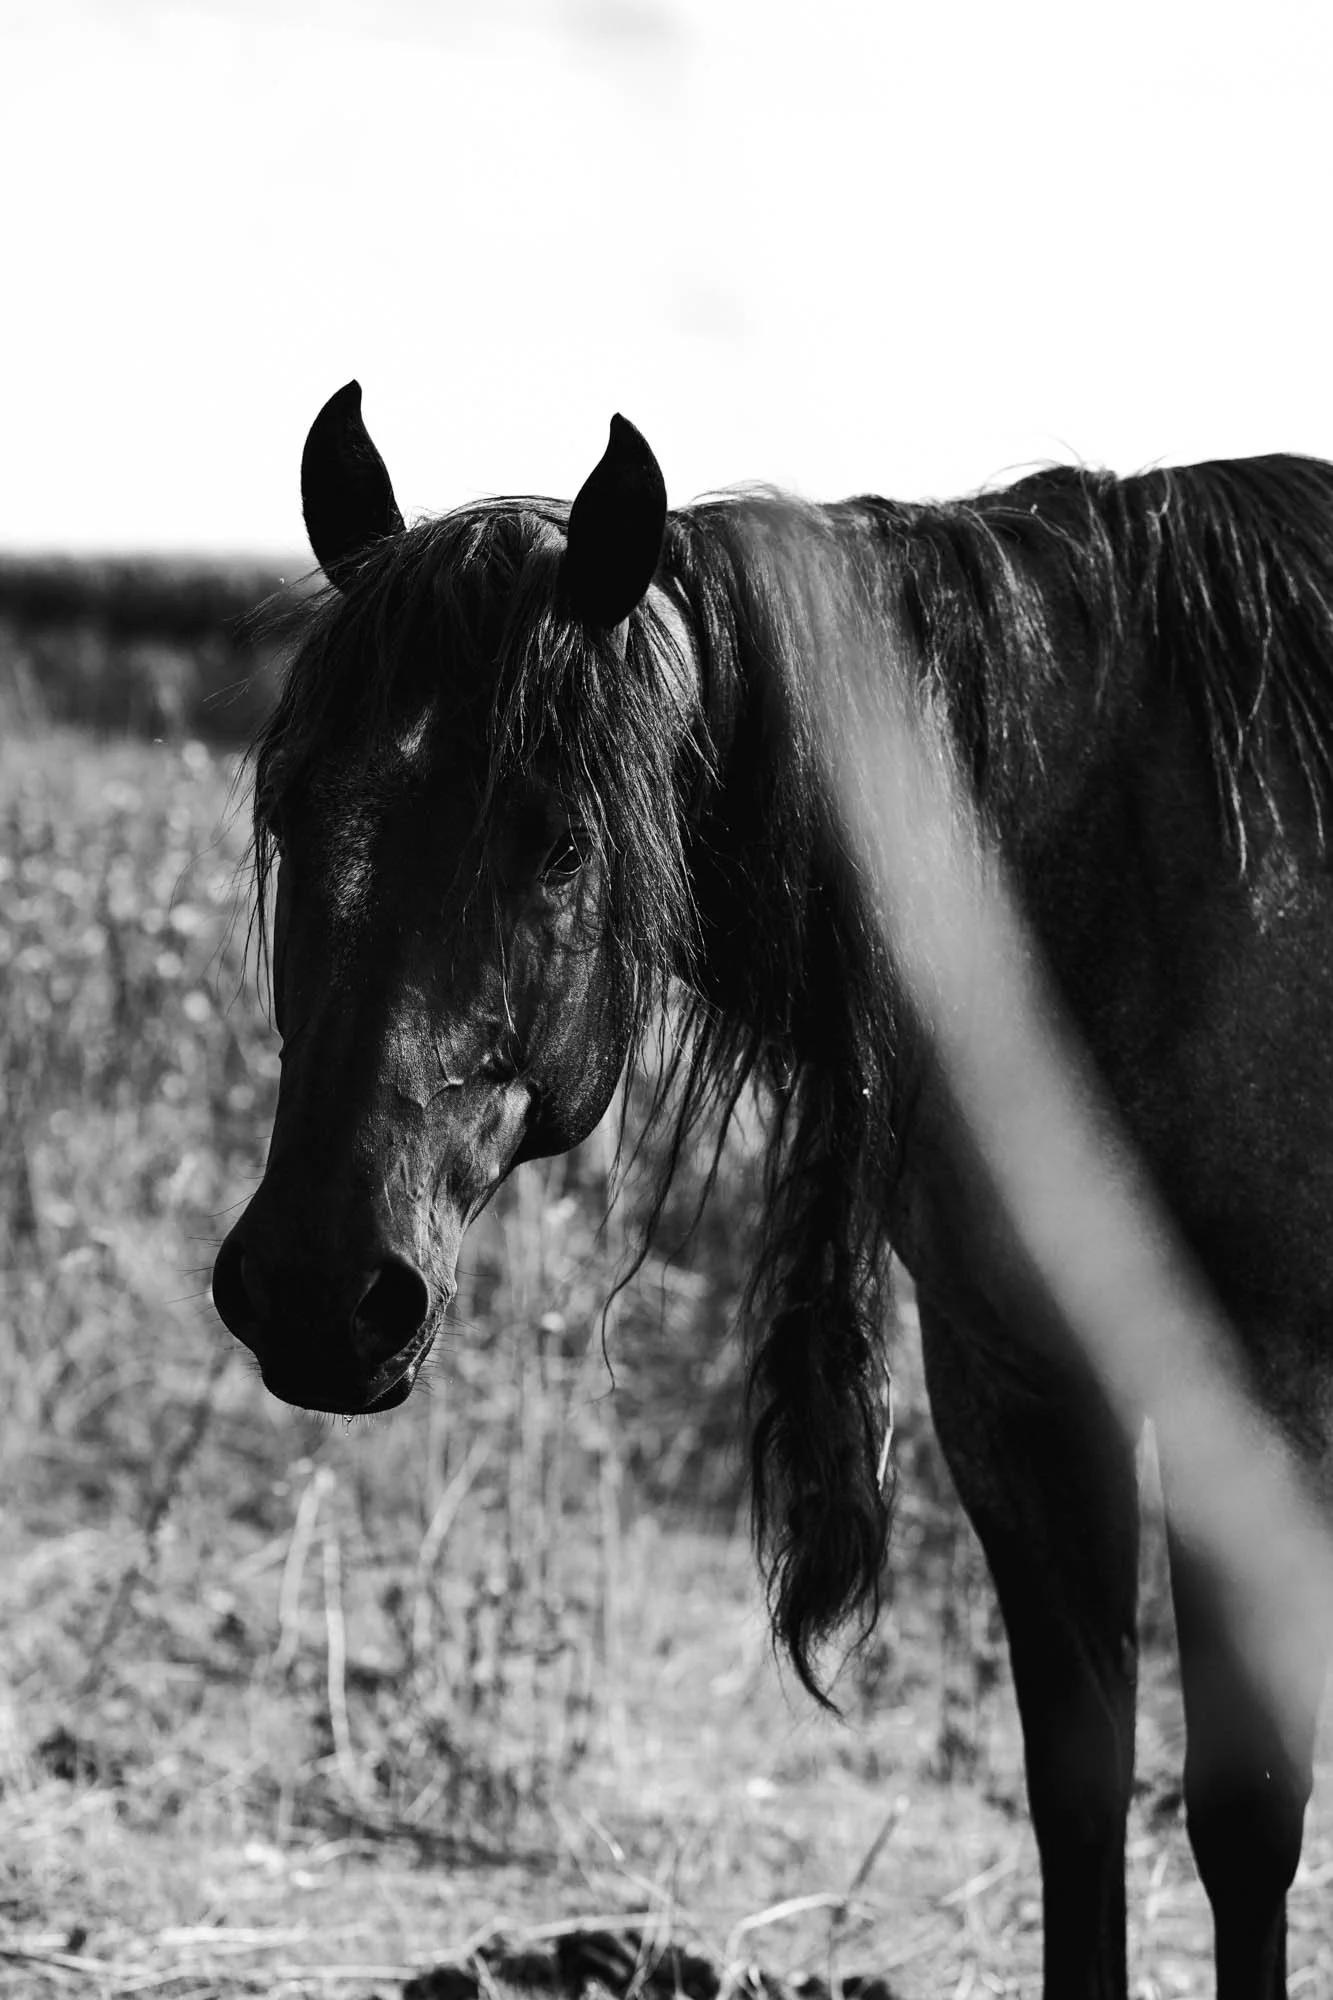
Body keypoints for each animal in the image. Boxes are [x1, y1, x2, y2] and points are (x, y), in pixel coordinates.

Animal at [212, 381, 1333, 1998]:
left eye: (560, 842)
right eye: (293, 805)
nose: (313, 1290)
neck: (1135, 867)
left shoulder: (1259, 1398)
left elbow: (1244, 1816)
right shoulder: (1015, 1383)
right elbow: (1077, 1795)